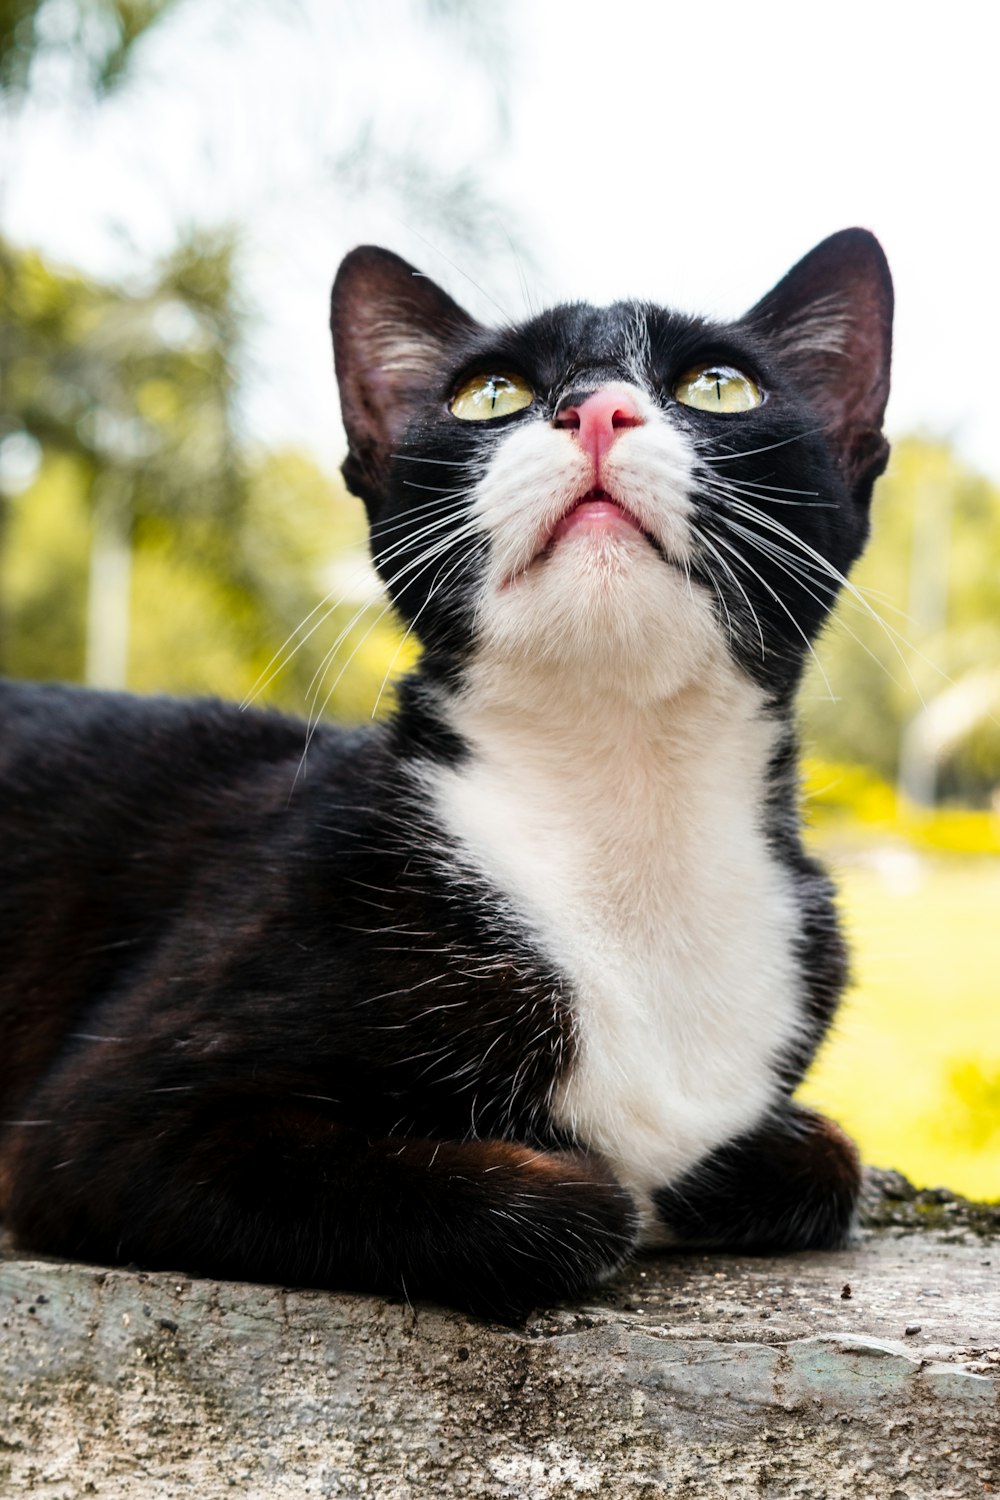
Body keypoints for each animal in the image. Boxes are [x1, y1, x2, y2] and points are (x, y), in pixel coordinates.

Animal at [0, 228, 893, 1320]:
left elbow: (832, 1156)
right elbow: (577, 1207)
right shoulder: (96, 1129)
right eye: (488, 394)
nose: (595, 408)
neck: (622, 805)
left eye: (719, 387)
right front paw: (619, 1181)